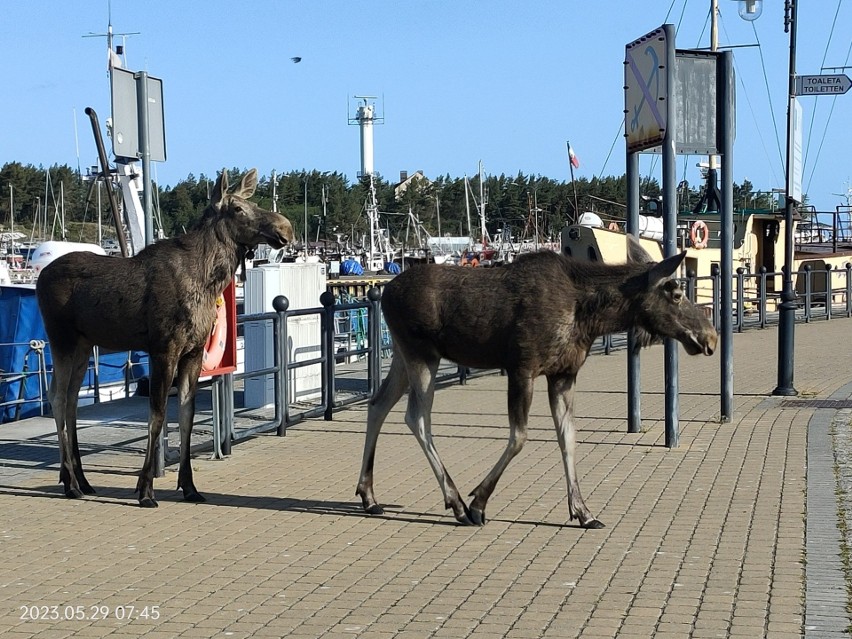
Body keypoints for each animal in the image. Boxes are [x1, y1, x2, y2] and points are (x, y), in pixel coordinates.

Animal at [36, 168, 294, 508]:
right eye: (238, 208)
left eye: (251, 203)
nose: (286, 228)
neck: (207, 280)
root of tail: (39, 277)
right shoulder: (163, 349)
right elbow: (157, 416)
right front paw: (145, 489)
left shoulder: (194, 352)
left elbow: (186, 415)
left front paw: (190, 486)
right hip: (61, 338)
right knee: (55, 396)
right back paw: (69, 483)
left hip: (83, 345)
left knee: (70, 401)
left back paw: (82, 480)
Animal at [356, 238, 716, 528]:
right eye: (676, 293)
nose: (710, 337)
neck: (590, 317)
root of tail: (384, 293)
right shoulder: (522, 367)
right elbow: (519, 437)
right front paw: (478, 502)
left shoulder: (563, 374)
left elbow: (568, 437)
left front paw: (583, 512)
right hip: (421, 354)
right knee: (416, 417)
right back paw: (456, 503)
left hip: (402, 355)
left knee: (378, 404)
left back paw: (369, 496)